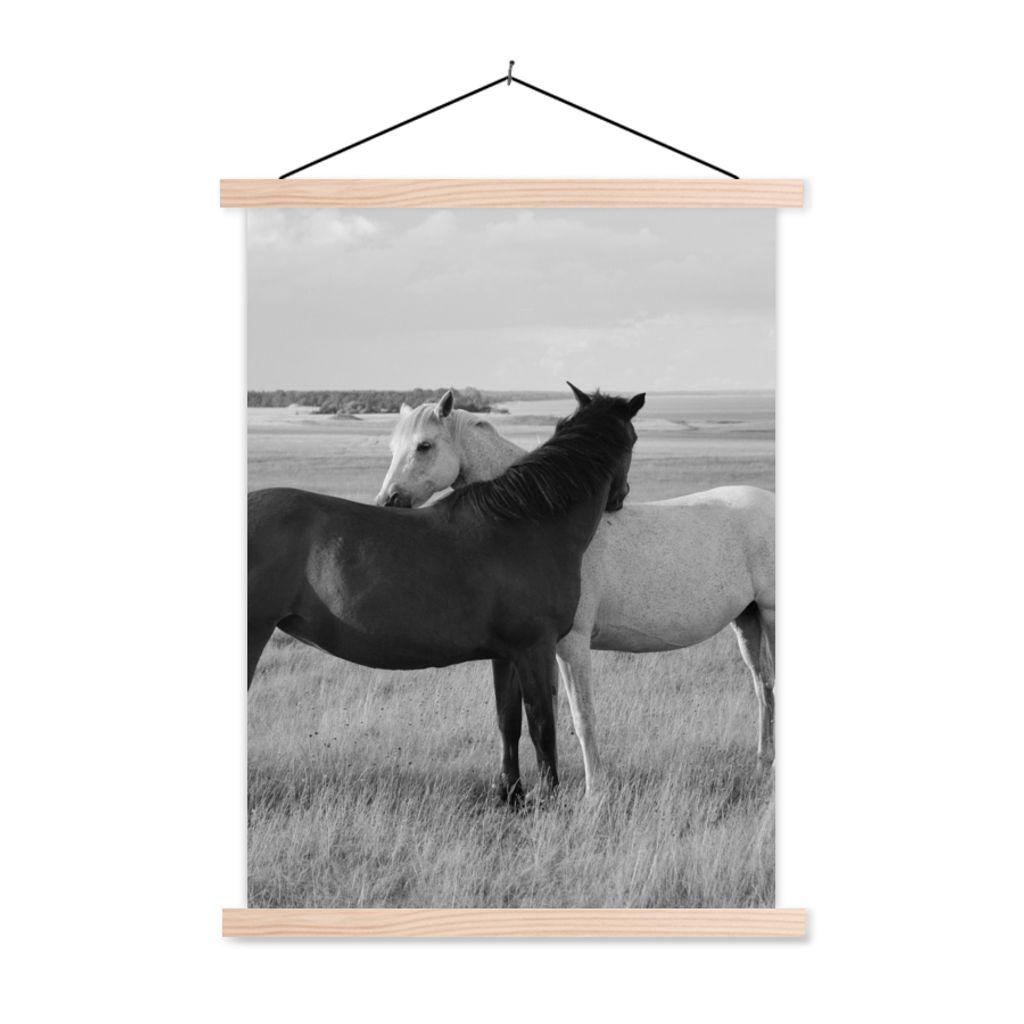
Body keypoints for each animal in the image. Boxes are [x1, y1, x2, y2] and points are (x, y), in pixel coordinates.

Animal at [249, 386, 644, 803]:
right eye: (634, 439)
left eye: (422, 446)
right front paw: (549, 797)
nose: (620, 497)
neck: (527, 522)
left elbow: (508, 722)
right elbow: (542, 725)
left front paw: (511, 794)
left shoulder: (506, 655)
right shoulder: (536, 648)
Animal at [376, 386, 775, 798]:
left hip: (771, 615)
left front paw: (594, 791)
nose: (387, 500)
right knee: (763, 686)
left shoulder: (571, 644)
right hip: (747, 621)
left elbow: (581, 717)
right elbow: (537, 715)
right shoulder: (537, 647)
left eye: (424, 445)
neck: (541, 519)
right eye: (393, 446)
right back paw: (763, 763)